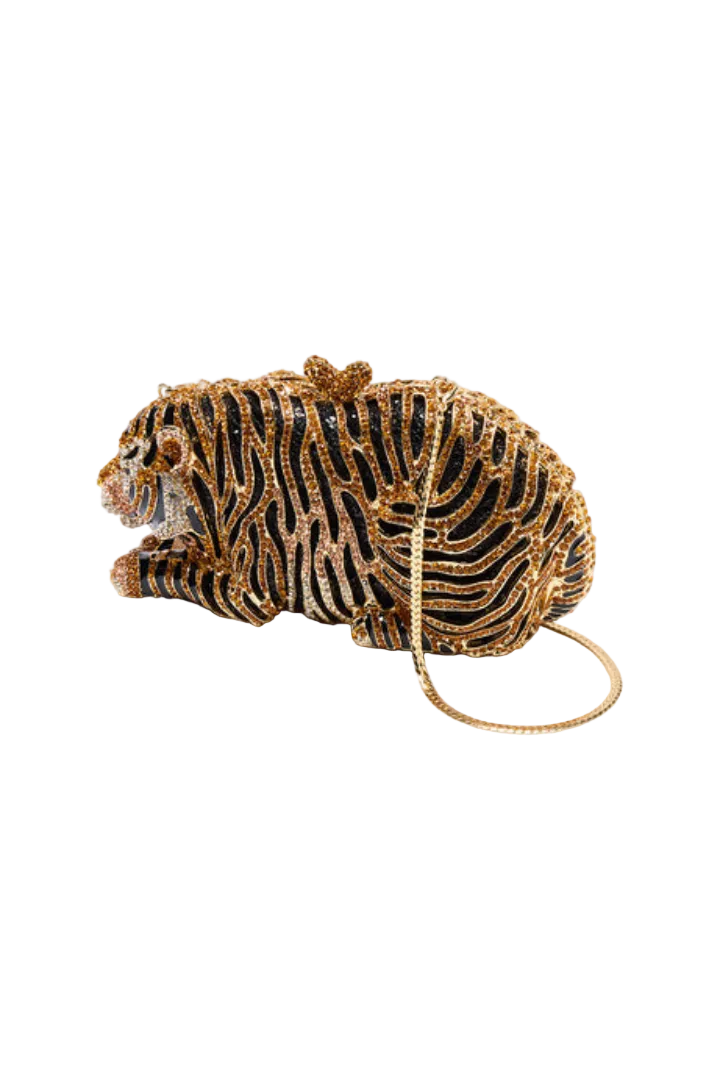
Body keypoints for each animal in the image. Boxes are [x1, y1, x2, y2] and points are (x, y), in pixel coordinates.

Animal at [97, 356, 595, 658]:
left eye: (127, 456)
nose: (100, 483)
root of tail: (576, 539)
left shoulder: (249, 592)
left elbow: (181, 575)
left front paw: (131, 569)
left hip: (412, 536)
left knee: (478, 636)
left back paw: (377, 624)